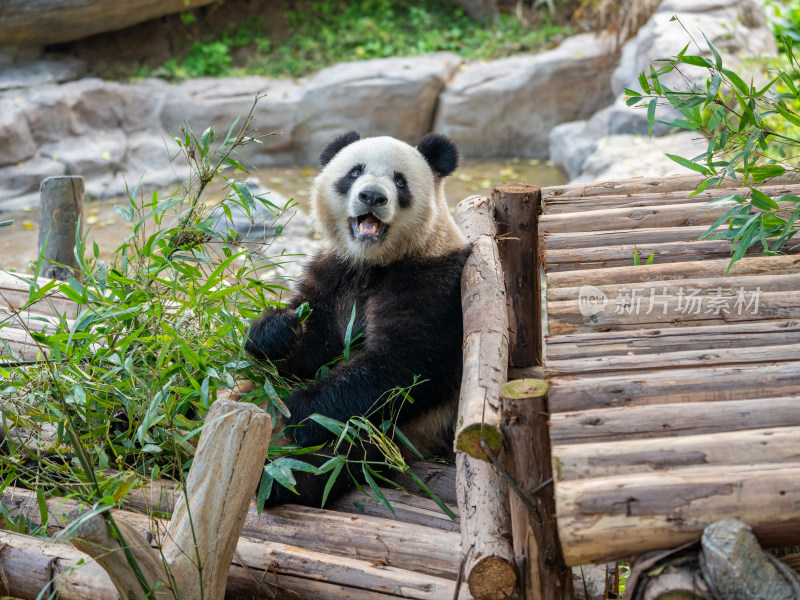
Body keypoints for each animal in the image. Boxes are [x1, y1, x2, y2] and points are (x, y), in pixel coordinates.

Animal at [245, 131, 468, 506]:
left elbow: (404, 366)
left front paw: (301, 409)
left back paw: (278, 477)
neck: (372, 262)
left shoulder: (434, 283)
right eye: (354, 172)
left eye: (399, 181)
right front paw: (274, 332)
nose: (372, 196)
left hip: (404, 431)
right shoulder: (334, 273)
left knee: (340, 454)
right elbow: (313, 346)